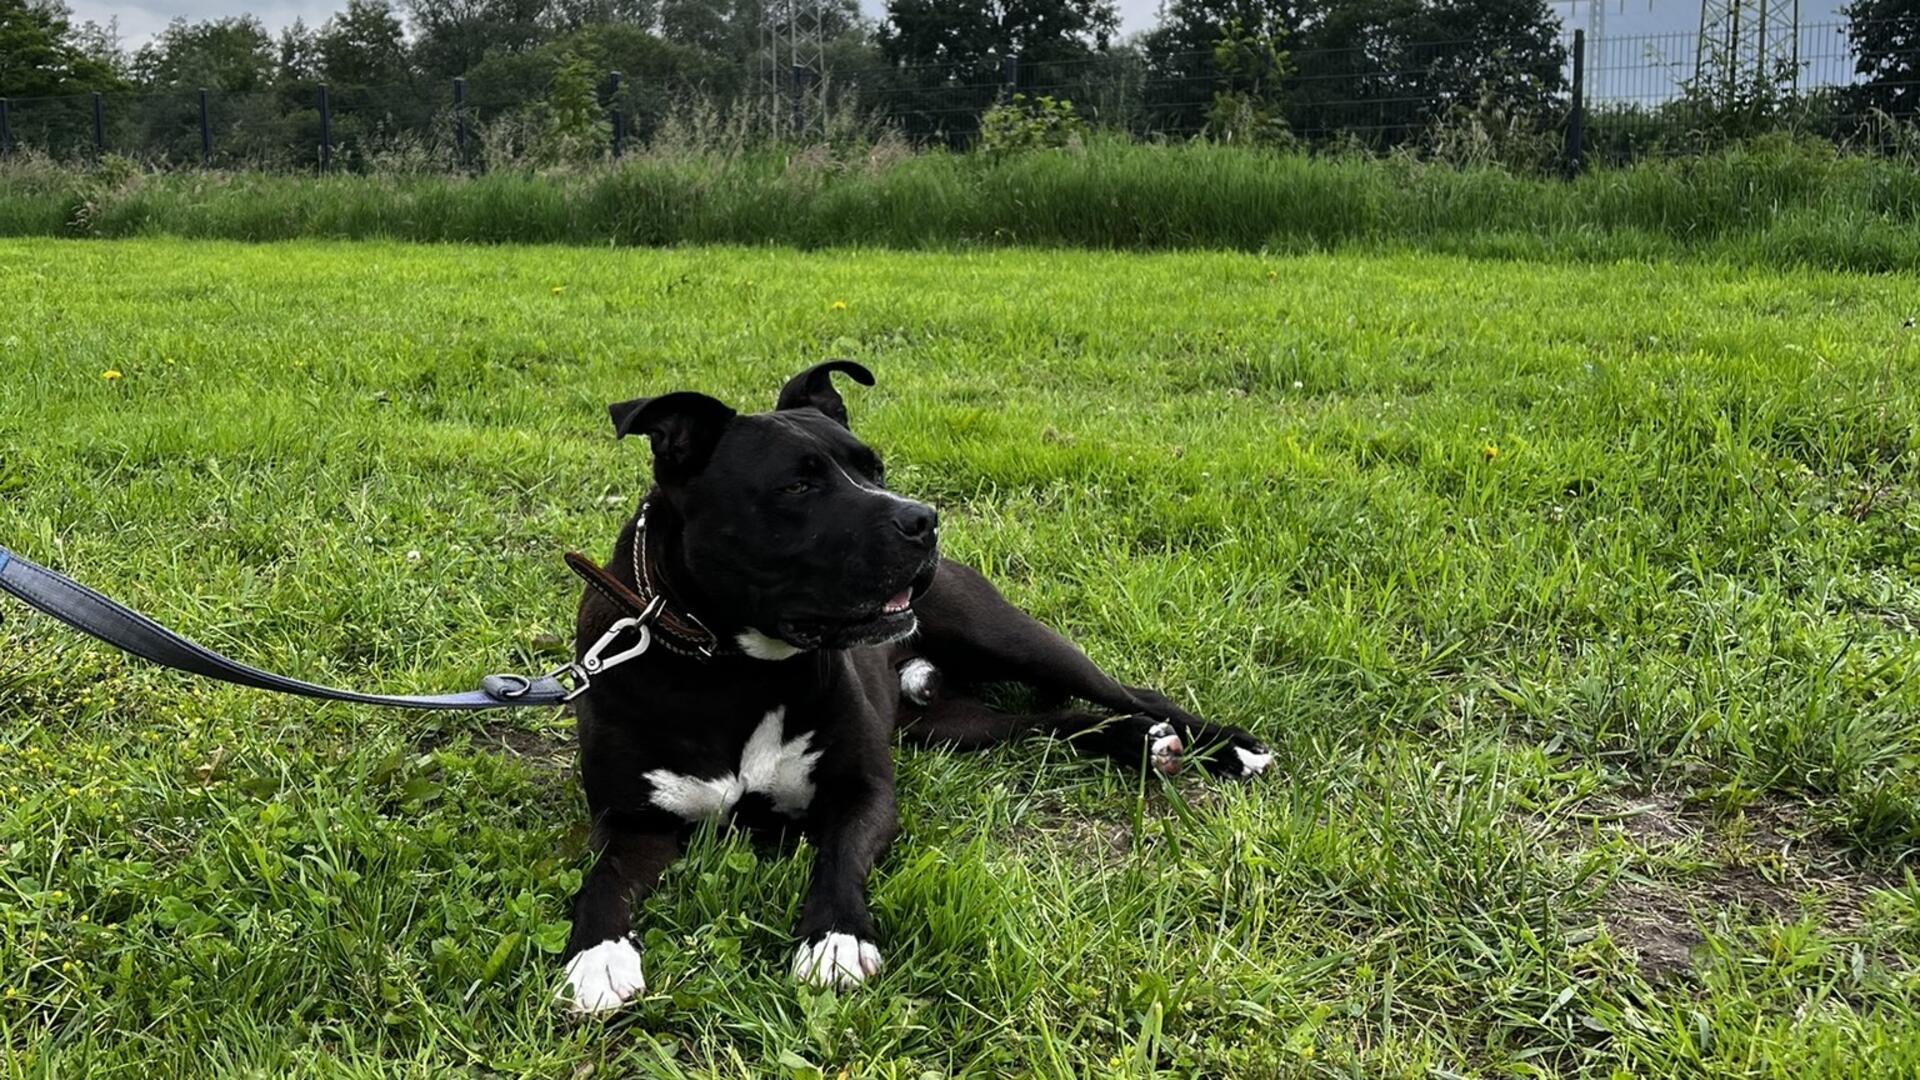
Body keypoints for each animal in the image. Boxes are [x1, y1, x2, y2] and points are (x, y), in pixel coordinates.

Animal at [560, 361, 1274, 1006]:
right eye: (797, 485)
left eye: (874, 469)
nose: (922, 519)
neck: (735, 669)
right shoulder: (633, 822)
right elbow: (603, 879)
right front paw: (596, 953)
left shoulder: (861, 791)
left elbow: (838, 857)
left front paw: (836, 938)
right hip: (956, 727)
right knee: (1056, 722)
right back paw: (1144, 742)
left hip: (1014, 639)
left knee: (1130, 695)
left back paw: (1227, 747)